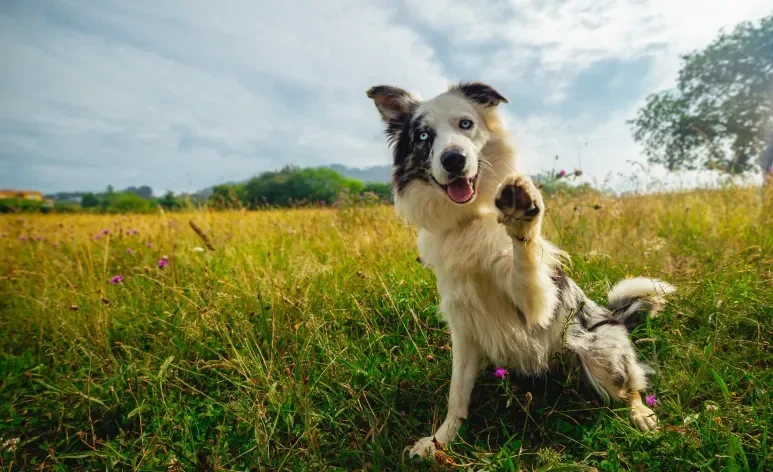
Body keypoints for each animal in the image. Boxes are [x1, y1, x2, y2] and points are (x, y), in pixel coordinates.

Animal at [364, 80, 672, 458]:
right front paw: (440, 441)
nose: (454, 159)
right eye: (423, 136)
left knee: (631, 386)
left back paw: (641, 414)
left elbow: (525, 259)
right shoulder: (463, 327)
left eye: (465, 124)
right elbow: (456, 394)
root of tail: (614, 318)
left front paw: (522, 215)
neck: (470, 220)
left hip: (599, 353)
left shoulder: (535, 305)